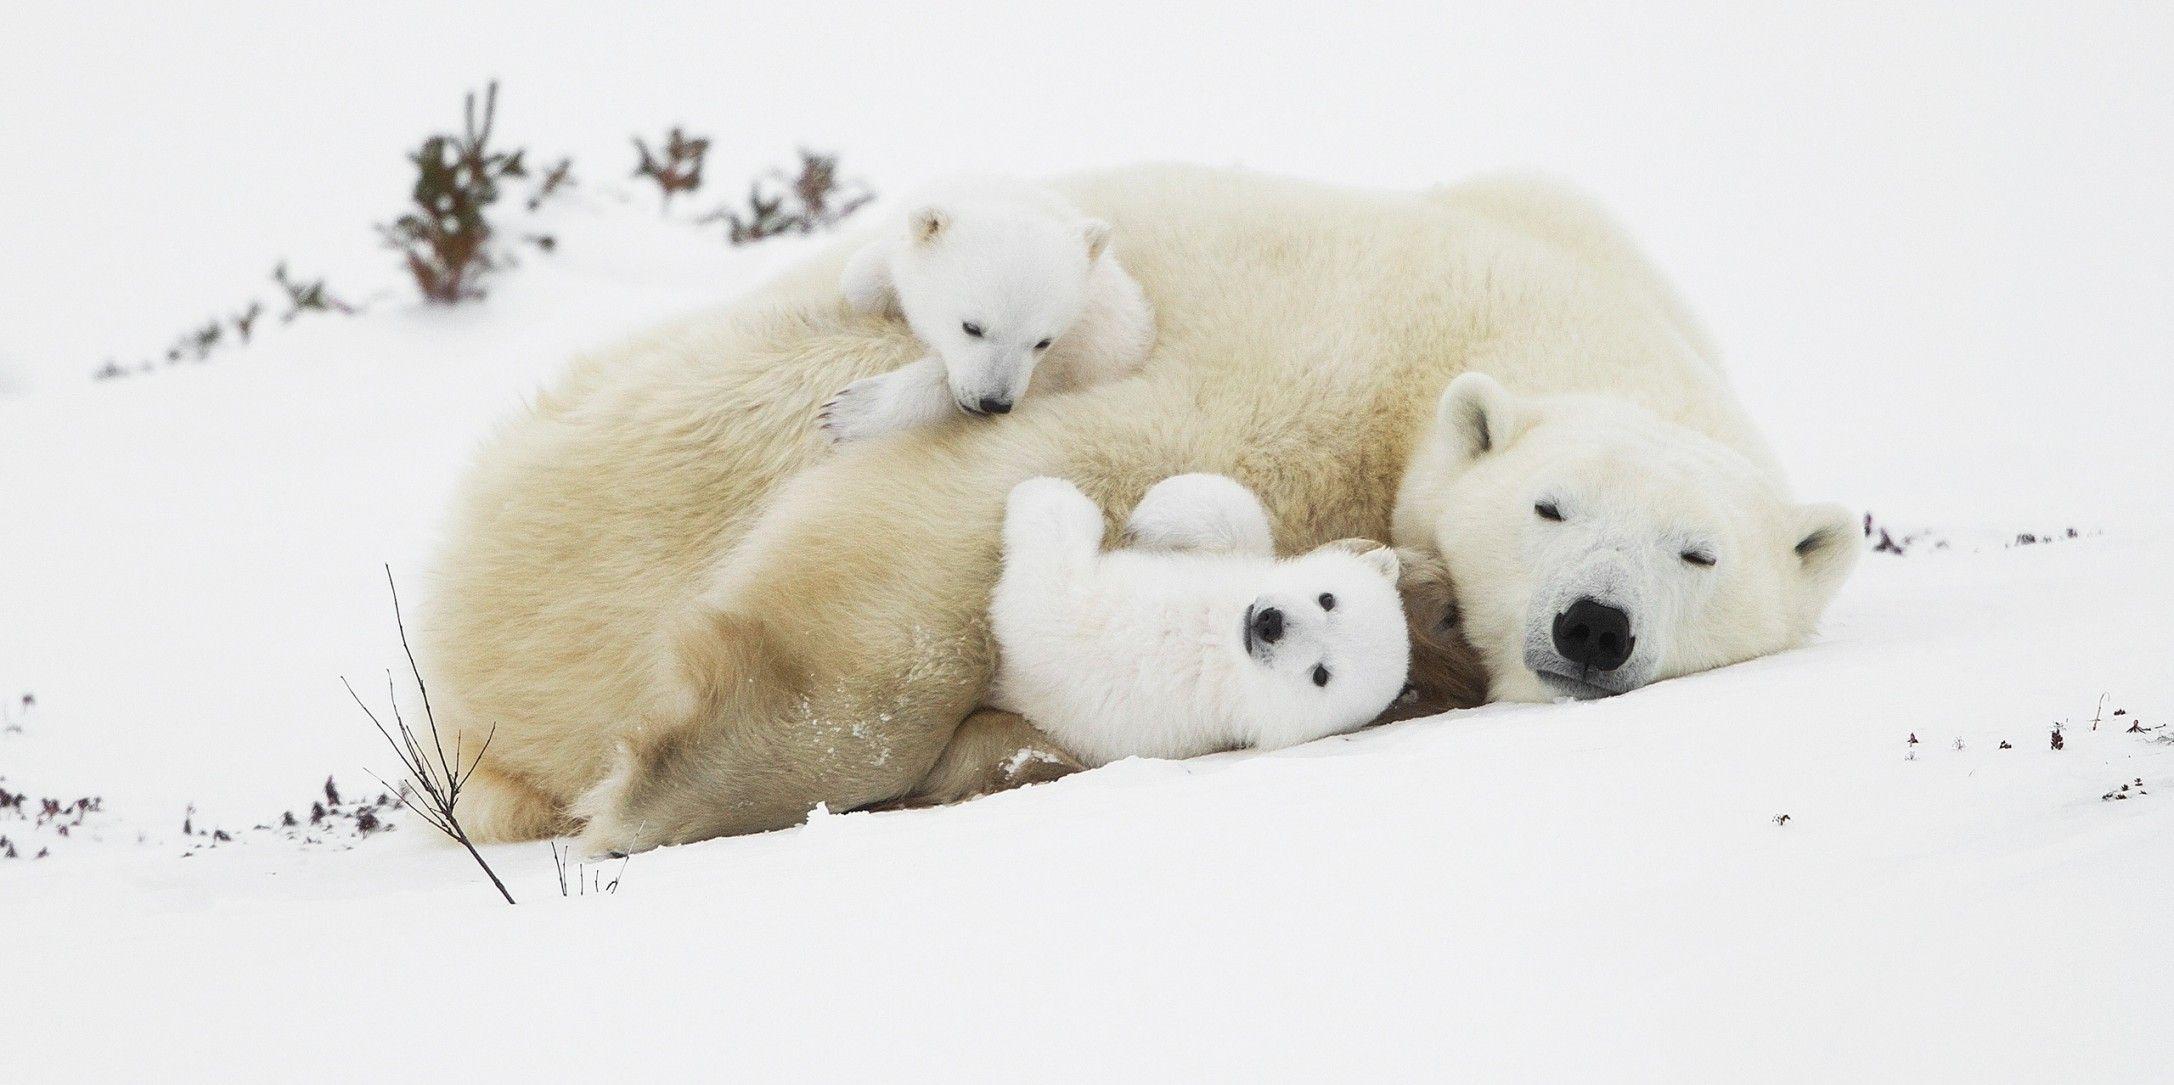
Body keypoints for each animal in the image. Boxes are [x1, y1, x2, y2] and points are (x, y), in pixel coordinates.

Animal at [821, 179, 1156, 442]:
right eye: (971, 327)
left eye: (1043, 342)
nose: (993, 403)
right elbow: (859, 279)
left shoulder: (1095, 344)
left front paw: (847, 411)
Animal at [990, 474, 1411, 768]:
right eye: (1328, 599)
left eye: (1321, 674)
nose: (1269, 624)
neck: (1217, 636)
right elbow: (1236, 519)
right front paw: (1155, 510)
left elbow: (1042, 599)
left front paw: (1041, 492)